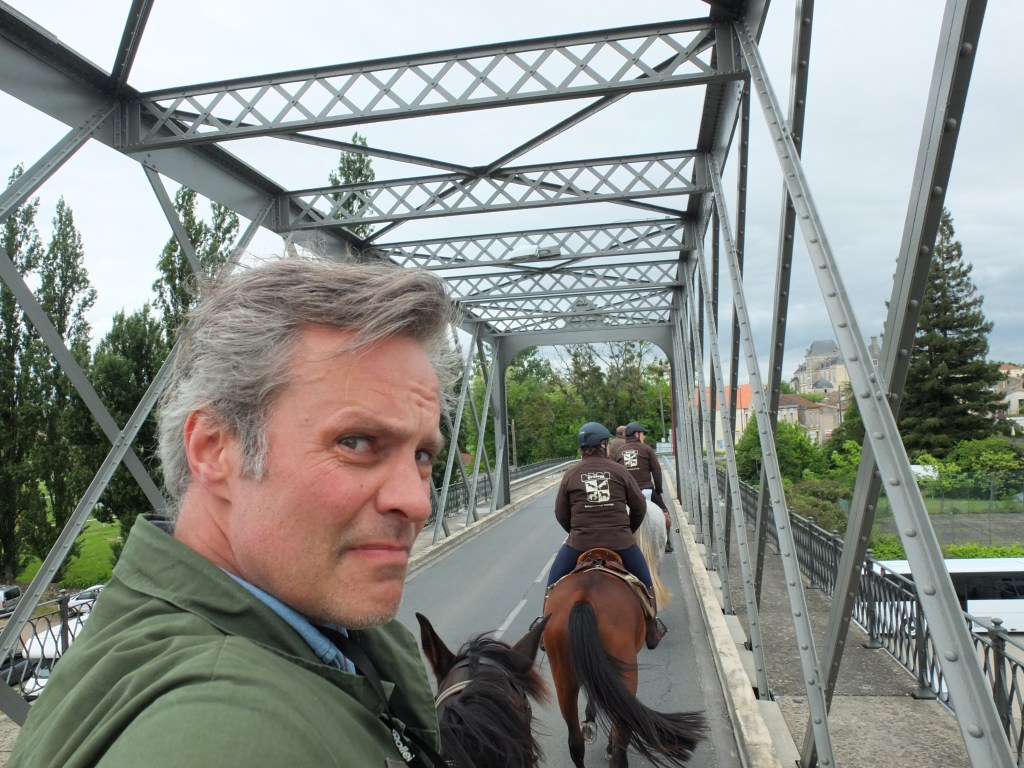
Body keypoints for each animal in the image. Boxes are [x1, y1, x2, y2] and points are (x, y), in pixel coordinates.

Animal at [543, 502, 705, 767]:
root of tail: (584, 599)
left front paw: (590, 721)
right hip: (626, 670)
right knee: (623, 723)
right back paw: (613, 748)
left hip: (563, 675)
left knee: (574, 743)